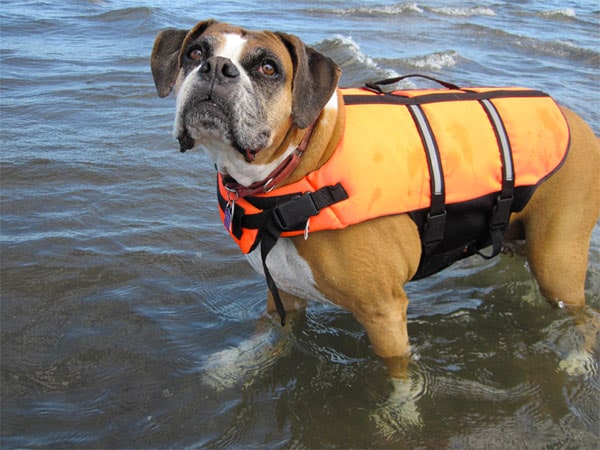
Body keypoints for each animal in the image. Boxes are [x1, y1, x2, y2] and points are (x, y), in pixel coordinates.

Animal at [151, 20, 600, 380]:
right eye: (195, 53)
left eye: (267, 68)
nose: (216, 68)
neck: (296, 170)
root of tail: (573, 117)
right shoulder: (285, 293)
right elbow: (272, 337)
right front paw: (241, 363)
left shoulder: (385, 314)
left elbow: (398, 378)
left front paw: (399, 417)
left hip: (557, 258)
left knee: (584, 314)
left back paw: (575, 359)